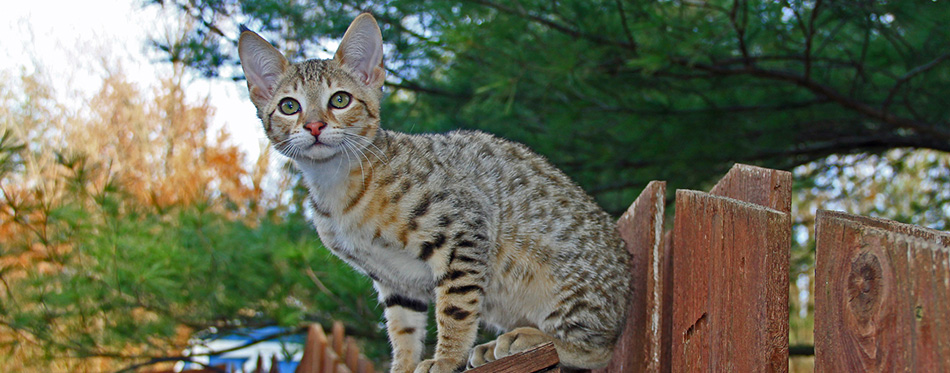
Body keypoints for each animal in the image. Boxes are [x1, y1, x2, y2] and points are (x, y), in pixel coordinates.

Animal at [240, 13, 632, 370]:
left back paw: (526, 338)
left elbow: (455, 309)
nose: (315, 126)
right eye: (289, 106)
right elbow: (403, 330)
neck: (337, 186)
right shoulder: (394, 281)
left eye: (339, 100)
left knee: (600, 348)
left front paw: (445, 360)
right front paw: (403, 366)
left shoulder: (463, 230)